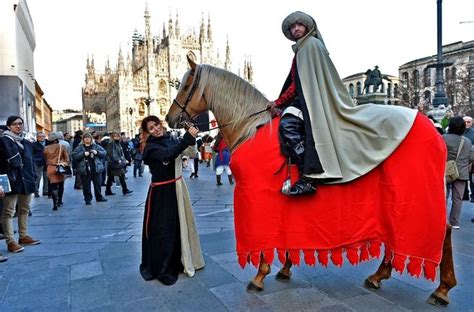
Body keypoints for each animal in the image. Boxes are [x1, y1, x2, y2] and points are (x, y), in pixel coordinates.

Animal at [165, 56, 458, 308]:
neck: (251, 130)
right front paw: (284, 268)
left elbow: (263, 239)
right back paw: (380, 276)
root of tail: (433, 129)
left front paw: (260, 276)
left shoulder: (257, 197)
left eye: (186, 84)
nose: (169, 118)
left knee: (442, 231)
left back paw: (441, 290)